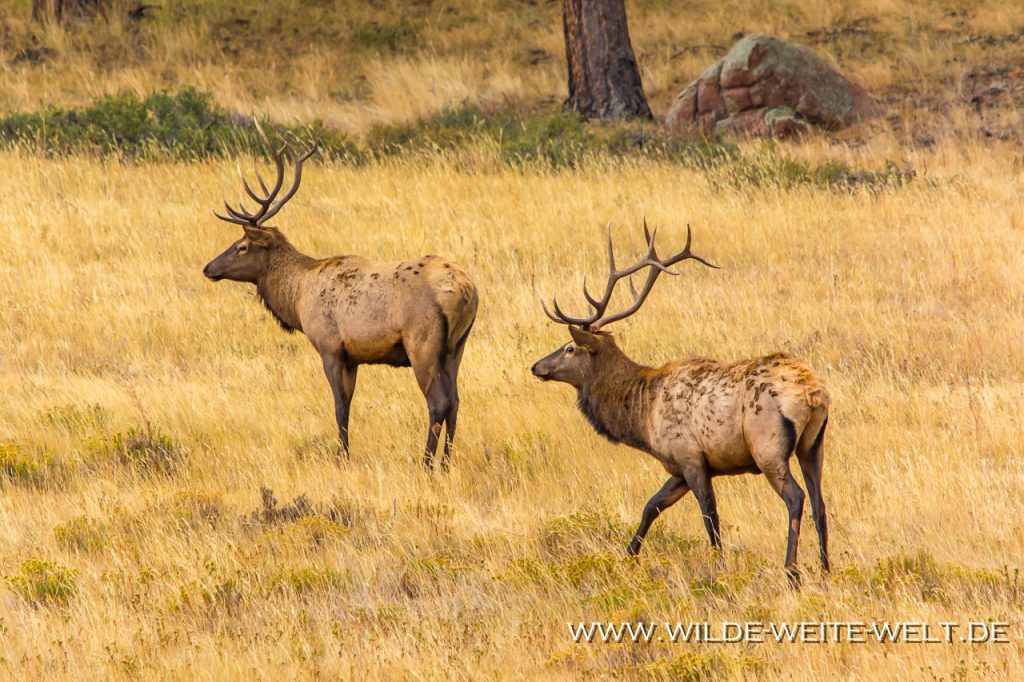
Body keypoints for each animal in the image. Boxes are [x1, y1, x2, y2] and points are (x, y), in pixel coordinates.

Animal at [202, 123, 478, 470]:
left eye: (241, 246)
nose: (208, 268)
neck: (297, 297)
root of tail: (467, 291)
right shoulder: (354, 356)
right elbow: (348, 404)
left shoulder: (330, 347)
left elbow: (339, 407)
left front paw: (342, 457)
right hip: (457, 346)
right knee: (455, 400)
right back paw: (445, 464)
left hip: (423, 342)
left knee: (438, 401)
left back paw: (426, 464)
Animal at [530, 222, 830, 585]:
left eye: (569, 348)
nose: (536, 366)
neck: (643, 417)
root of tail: (813, 394)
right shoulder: (677, 466)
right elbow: (651, 506)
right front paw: (627, 557)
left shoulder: (691, 457)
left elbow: (710, 517)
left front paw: (719, 569)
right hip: (813, 445)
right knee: (820, 503)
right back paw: (827, 570)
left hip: (768, 447)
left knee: (796, 498)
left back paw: (791, 572)